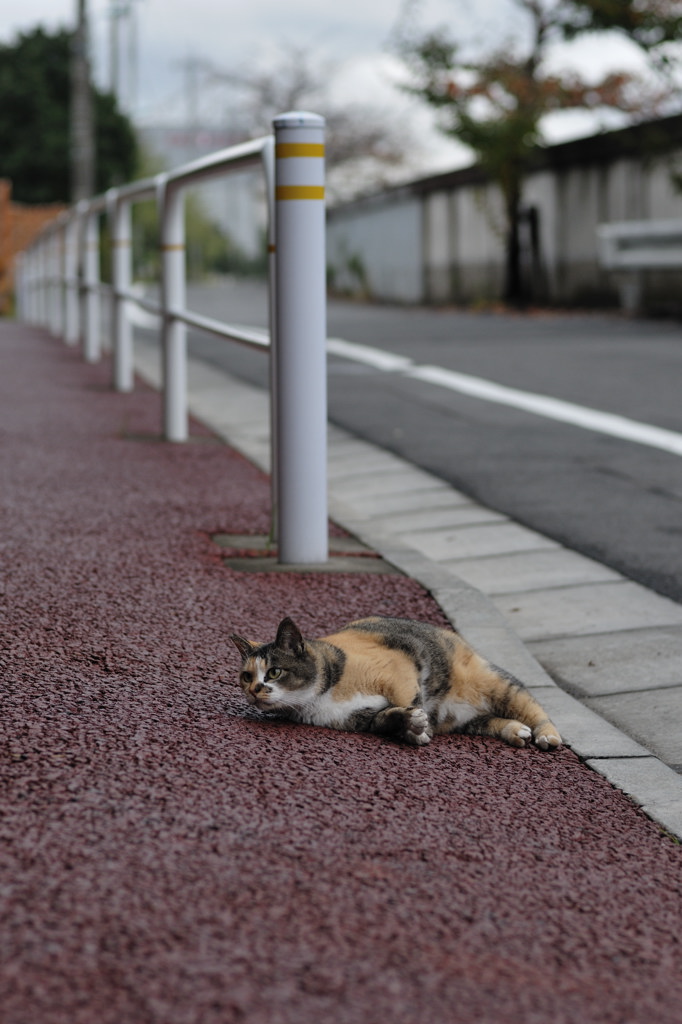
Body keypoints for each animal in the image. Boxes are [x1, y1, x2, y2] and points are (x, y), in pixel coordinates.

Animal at [228, 614, 557, 753]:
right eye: (246, 676)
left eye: (274, 672)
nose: (254, 690)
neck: (320, 698)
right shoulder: (358, 718)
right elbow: (385, 717)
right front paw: (408, 726)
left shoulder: (398, 670)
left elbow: (408, 699)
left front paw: (419, 730)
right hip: (467, 720)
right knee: (491, 720)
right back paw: (517, 732)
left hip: (495, 684)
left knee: (532, 706)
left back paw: (546, 736)